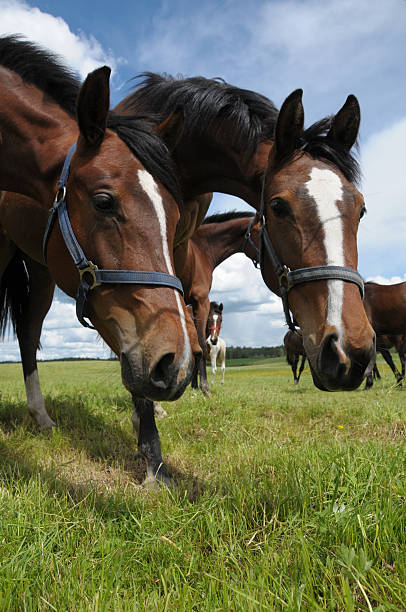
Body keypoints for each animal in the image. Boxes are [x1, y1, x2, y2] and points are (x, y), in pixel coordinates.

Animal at [177, 209, 260, 392]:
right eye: (262, 232)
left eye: (221, 320)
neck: (201, 248)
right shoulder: (200, 300)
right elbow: (200, 345)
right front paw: (204, 387)